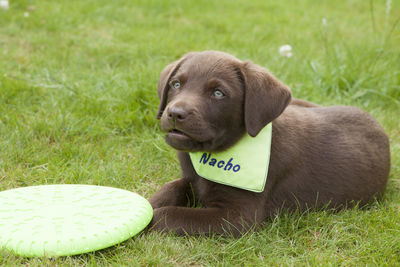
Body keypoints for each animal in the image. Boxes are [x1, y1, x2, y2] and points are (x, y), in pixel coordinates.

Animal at [148, 50, 390, 237]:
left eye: (218, 93)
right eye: (176, 84)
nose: (175, 113)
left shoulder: (237, 217)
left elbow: (169, 214)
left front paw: (145, 221)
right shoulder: (190, 178)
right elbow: (170, 188)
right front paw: (149, 202)